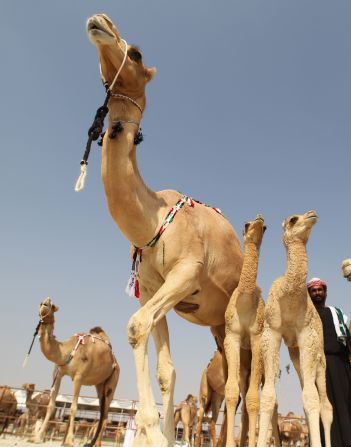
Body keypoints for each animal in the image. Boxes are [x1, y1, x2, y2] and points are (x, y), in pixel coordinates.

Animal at [35, 298, 121, 447]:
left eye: (52, 306)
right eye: (41, 303)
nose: (45, 302)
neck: (65, 351)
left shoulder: (78, 377)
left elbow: (74, 407)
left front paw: (70, 440)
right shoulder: (58, 374)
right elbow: (51, 405)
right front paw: (39, 437)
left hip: (112, 382)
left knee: (105, 415)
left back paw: (95, 444)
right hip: (100, 385)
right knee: (102, 414)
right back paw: (91, 443)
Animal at [84, 13, 245, 447]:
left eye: (137, 53)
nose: (100, 20)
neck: (152, 220)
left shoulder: (186, 272)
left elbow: (136, 326)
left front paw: (153, 432)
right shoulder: (154, 289)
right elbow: (164, 366)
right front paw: (162, 434)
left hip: (243, 313)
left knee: (247, 381)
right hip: (218, 325)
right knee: (234, 380)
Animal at [258, 211, 334, 447]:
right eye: (293, 219)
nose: (312, 215)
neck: (288, 296)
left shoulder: (306, 335)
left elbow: (312, 398)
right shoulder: (272, 333)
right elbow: (268, 396)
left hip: (319, 359)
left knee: (324, 403)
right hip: (296, 356)